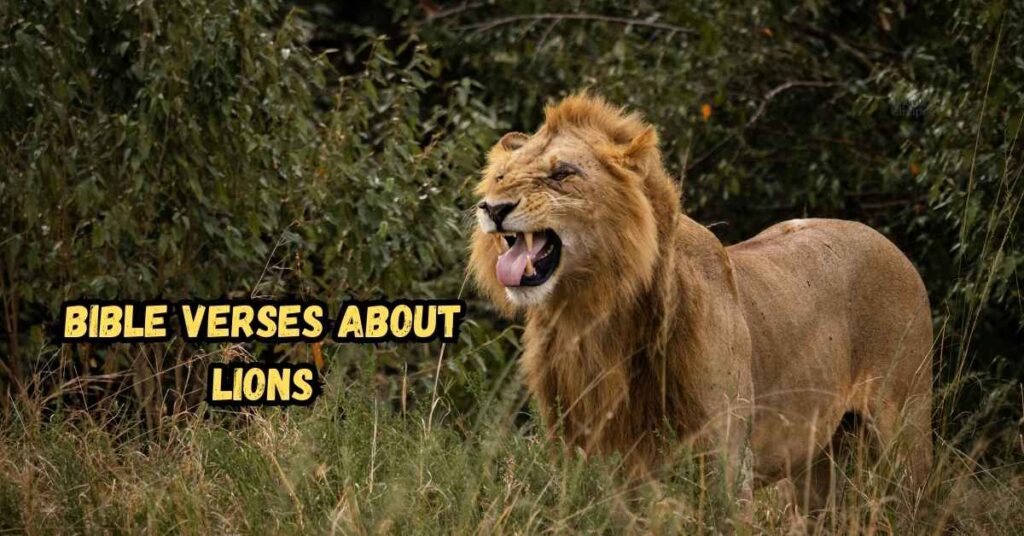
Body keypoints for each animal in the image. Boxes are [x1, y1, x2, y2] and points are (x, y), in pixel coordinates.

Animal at [469, 94, 933, 509]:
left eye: (562, 173)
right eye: (501, 176)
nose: (492, 208)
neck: (593, 314)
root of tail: (890, 245)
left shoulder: (726, 461)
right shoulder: (585, 457)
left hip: (905, 432)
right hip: (817, 464)